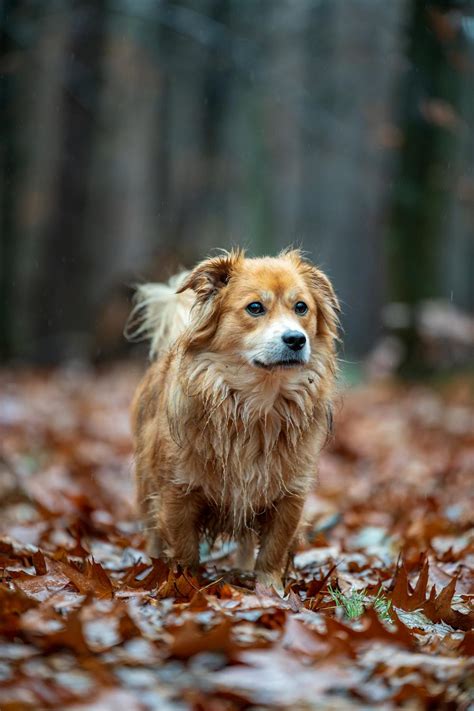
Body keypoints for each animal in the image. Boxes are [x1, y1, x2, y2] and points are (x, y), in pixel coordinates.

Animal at [128, 250, 338, 588]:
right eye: (255, 307)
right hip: (147, 485)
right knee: (154, 535)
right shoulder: (177, 493)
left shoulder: (289, 495)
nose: (296, 339)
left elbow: (273, 551)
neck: (256, 404)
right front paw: (185, 586)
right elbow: (185, 551)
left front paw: (269, 590)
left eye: (301, 307)